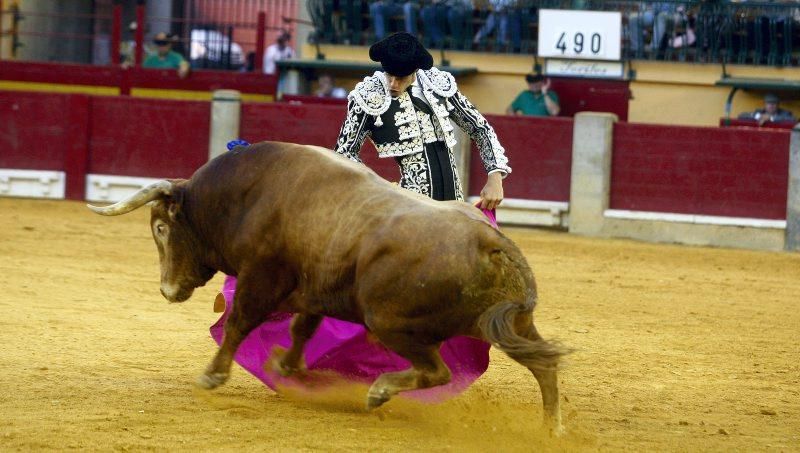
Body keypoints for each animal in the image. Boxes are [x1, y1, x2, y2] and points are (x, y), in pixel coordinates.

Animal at [90, 141, 568, 430]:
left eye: (160, 228)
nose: (167, 291)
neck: (245, 195)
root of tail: (491, 240)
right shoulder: (313, 288)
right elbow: (301, 328)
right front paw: (287, 366)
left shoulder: (261, 276)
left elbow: (240, 322)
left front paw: (213, 376)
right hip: (510, 326)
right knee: (544, 365)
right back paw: (552, 427)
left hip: (390, 322)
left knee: (438, 370)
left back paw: (378, 392)